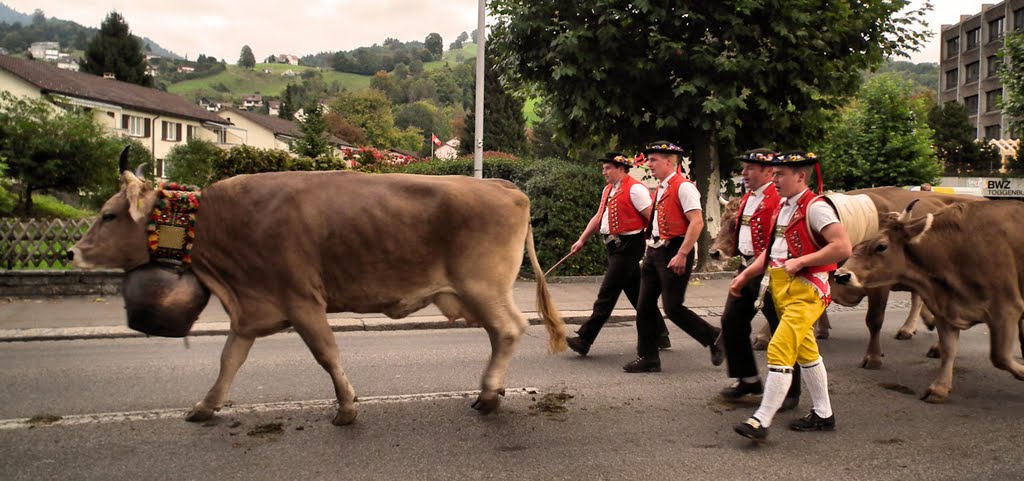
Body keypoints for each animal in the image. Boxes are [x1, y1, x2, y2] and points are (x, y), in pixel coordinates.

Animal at [72, 154, 569, 423]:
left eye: (109, 215)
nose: (74, 251)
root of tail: (502, 185)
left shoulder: (301, 300)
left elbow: (327, 354)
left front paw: (346, 408)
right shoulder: (252, 309)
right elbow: (229, 359)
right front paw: (205, 406)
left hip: (483, 286)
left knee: (509, 329)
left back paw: (487, 395)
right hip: (477, 292)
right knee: (500, 333)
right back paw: (492, 391)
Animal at [712, 188, 983, 368]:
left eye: (737, 223)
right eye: (723, 219)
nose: (714, 252)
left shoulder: (879, 285)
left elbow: (874, 319)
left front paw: (872, 357)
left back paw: (929, 341)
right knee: (920, 298)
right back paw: (915, 327)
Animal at [835, 199, 1024, 401]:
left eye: (881, 246)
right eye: (855, 247)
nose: (841, 275)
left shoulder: (1005, 310)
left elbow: (1000, 356)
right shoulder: (944, 310)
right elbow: (949, 350)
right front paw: (939, 388)